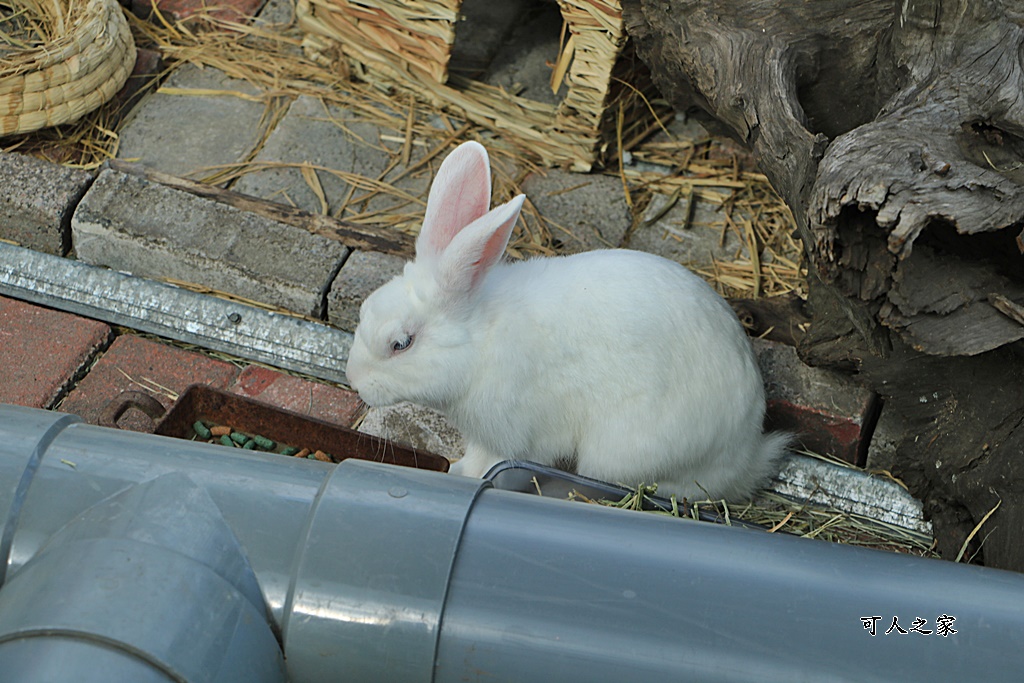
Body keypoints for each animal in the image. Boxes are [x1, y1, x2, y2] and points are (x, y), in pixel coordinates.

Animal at [348, 140, 786, 501]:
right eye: (363, 311)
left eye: (401, 344)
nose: (353, 380)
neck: (478, 341)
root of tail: (749, 451)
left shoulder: (512, 435)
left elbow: (487, 463)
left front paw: (460, 474)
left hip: (621, 453)